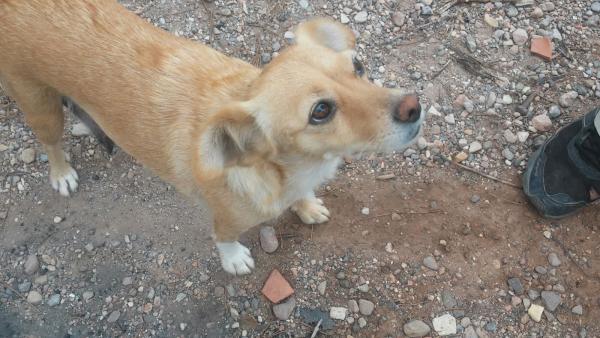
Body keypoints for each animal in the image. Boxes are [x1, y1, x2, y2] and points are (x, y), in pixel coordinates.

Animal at [0, 0, 424, 274]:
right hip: (40, 105)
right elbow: (225, 238)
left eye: (359, 66)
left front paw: (306, 205)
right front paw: (234, 259)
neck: (289, 169)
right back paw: (61, 173)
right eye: (320, 111)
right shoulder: (226, 218)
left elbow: (302, 197)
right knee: (51, 142)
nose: (414, 106)